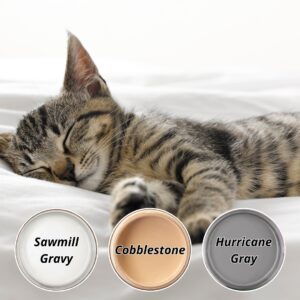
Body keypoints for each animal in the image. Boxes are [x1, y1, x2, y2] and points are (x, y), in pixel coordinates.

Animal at [1, 33, 298, 244]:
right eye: (38, 169)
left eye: (68, 133)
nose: (66, 172)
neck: (121, 163)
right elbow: (164, 191)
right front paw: (132, 201)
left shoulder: (205, 160)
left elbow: (204, 190)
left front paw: (198, 218)